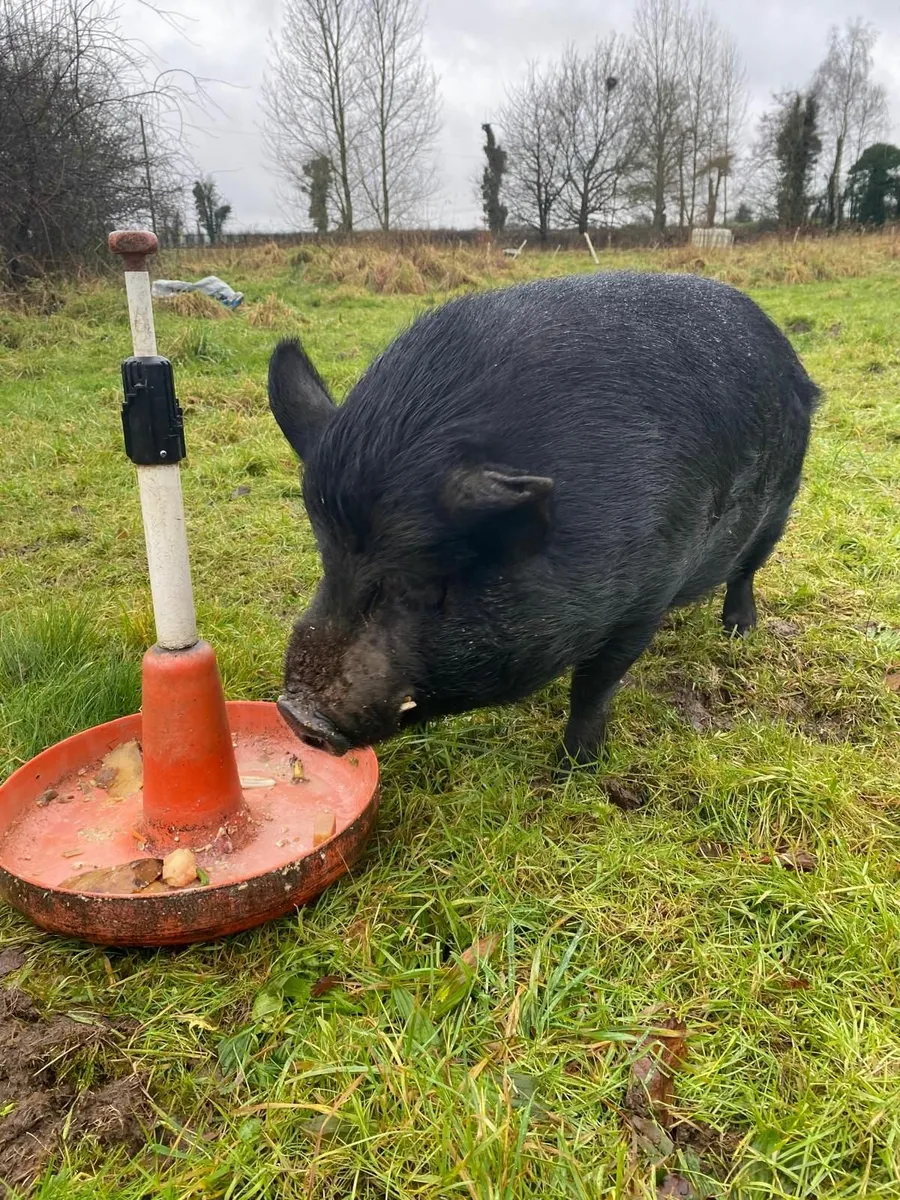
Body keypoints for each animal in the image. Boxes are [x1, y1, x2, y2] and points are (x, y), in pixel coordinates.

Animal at [269, 271, 818, 767]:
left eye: (430, 586)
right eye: (327, 560)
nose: (297, 713)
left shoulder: (644, 598)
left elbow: (594, 687)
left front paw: (574, 770)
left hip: (780, 503)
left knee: (746, 570)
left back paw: (739, 631)